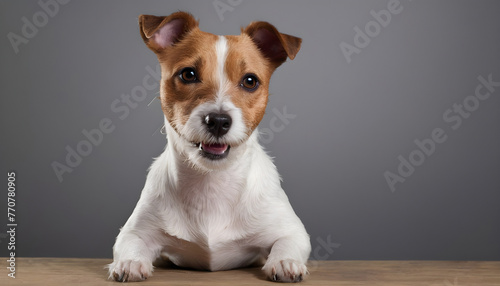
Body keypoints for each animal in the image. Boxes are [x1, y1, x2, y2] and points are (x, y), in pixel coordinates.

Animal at [109, 10, 310, 282]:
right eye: (188, 74)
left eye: (250, 81)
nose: (218, 121)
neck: (211, 182)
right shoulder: (135, 231)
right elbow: (131, 243)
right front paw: (130, 262)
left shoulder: (292, 230)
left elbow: (287, 242)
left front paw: (285, 262)